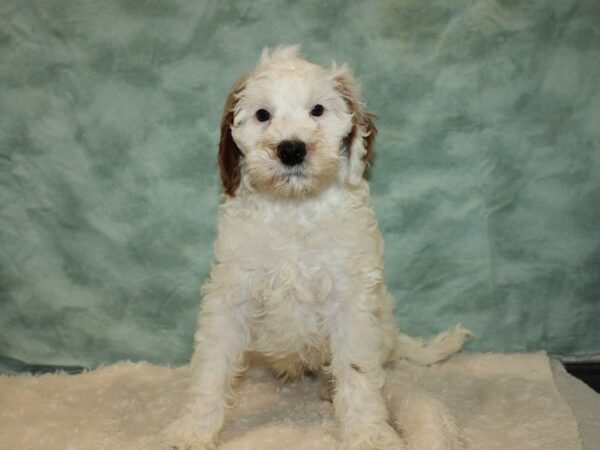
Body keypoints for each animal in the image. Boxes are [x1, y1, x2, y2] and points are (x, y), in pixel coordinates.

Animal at [165, 46, 474, 450]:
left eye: (317, 110)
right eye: (262, 114)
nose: (291, 149)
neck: (295, 209)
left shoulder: (351, 302)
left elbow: (357, 372)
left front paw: (368, 434)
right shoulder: (231, 294)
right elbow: (212, 369)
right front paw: (192, 430)